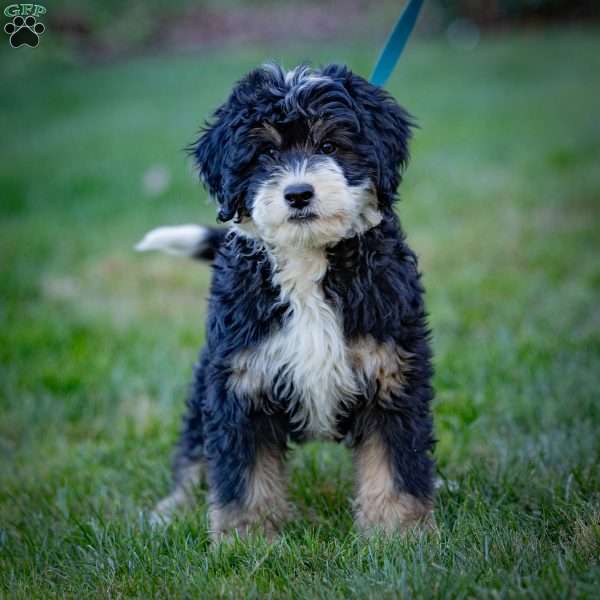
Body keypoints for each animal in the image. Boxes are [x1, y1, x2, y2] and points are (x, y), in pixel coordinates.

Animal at [137, 62, 436, 540]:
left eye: (329, 145)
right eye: (265, 155)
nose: (298, 193)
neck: (307, 261)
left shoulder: (391, 372)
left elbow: (395, 465)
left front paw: (400, 535)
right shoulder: (240, 379)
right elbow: (244, 473)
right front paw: (246, 538)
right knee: (195, 449)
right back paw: (172, 508)